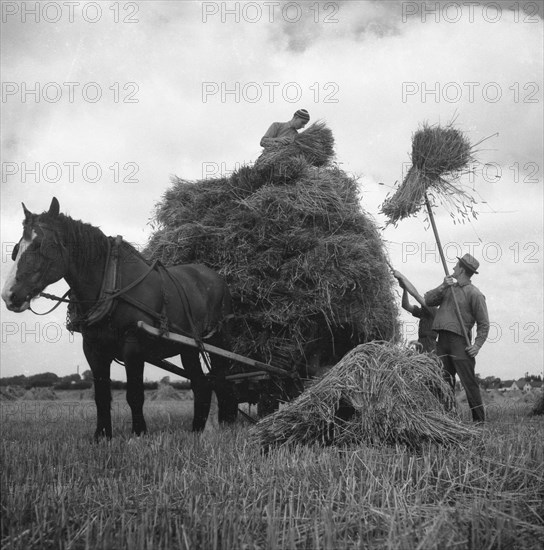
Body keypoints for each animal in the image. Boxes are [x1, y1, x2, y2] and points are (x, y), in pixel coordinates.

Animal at [2, 198, 237, 440]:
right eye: (17, 249)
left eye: (39, 245)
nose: (9, 295)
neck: (111, 282)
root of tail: (215, 276)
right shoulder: (93, 348)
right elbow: (101, 396)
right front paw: (102, 436)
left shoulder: (133, 345)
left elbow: (134, 395)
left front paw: (138, 433)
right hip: (188, 347)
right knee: (201, 384)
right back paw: (196, 430)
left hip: (219, 341)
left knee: (222, 380)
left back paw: (226, 424)